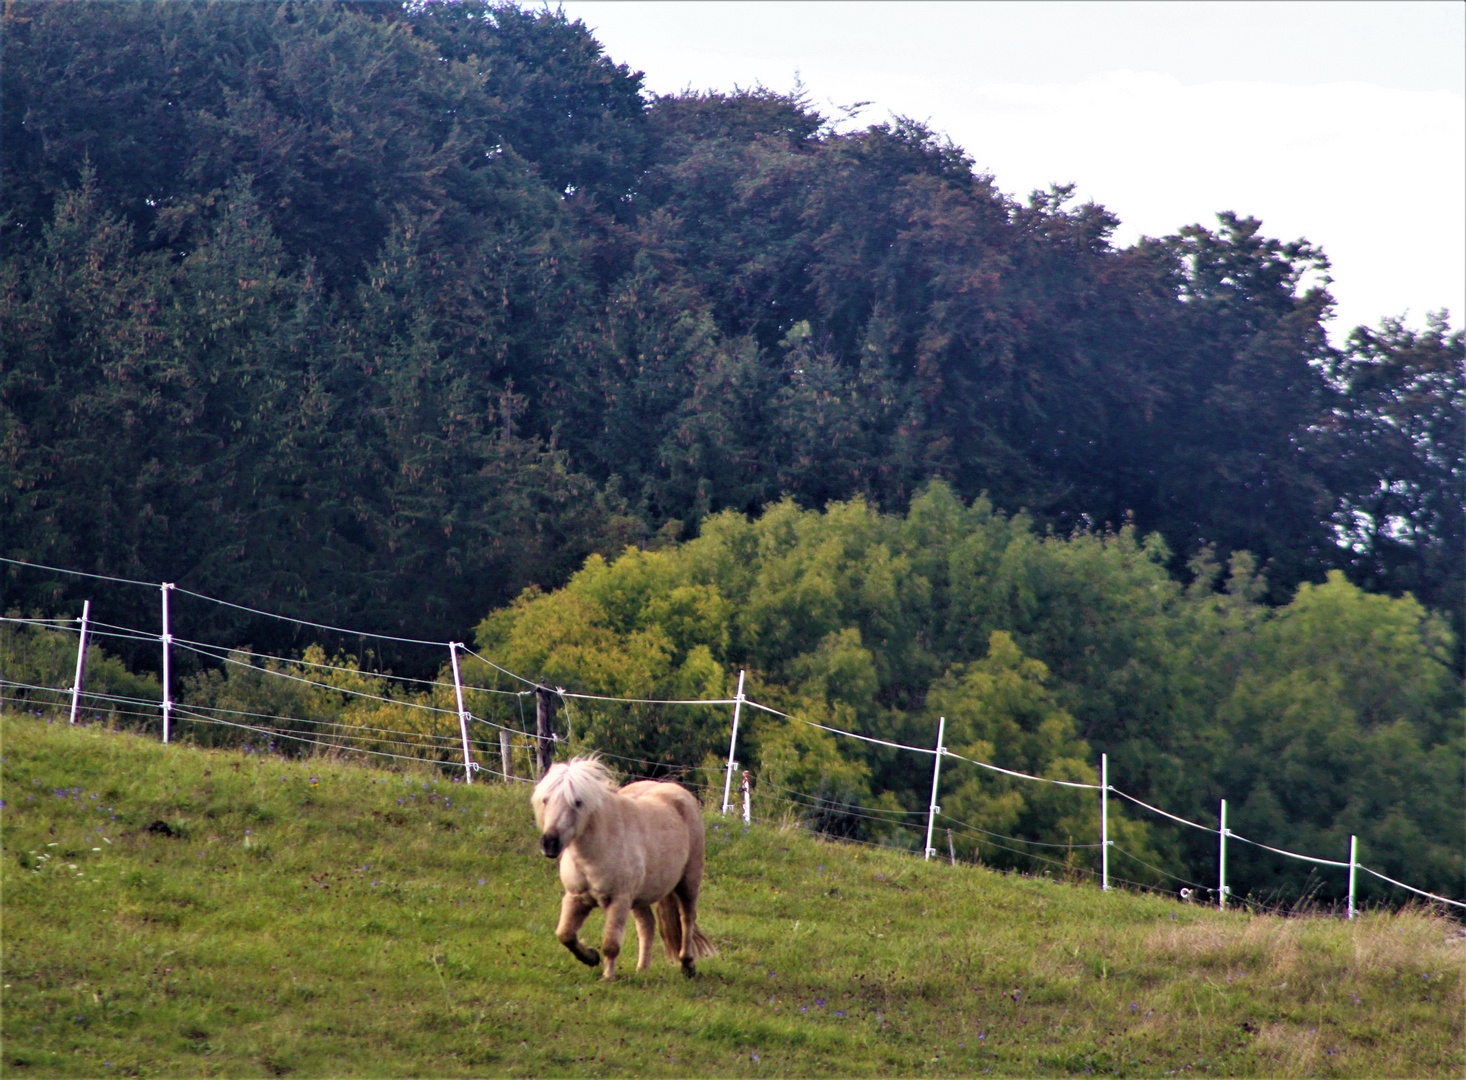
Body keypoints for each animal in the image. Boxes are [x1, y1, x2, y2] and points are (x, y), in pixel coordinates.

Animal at [533, 756, 715, 978]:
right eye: (545, 800)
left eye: (577, 802)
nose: (549, 843)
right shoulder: (576, 897)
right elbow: (565, 934)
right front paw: (591, 957)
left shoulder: (618, 901)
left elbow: (611, 944)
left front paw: (607, 977)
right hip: (640, 897)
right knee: (647, 925)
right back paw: (642, 969)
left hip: (688, 882)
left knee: (686, 919)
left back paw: (687, 965)